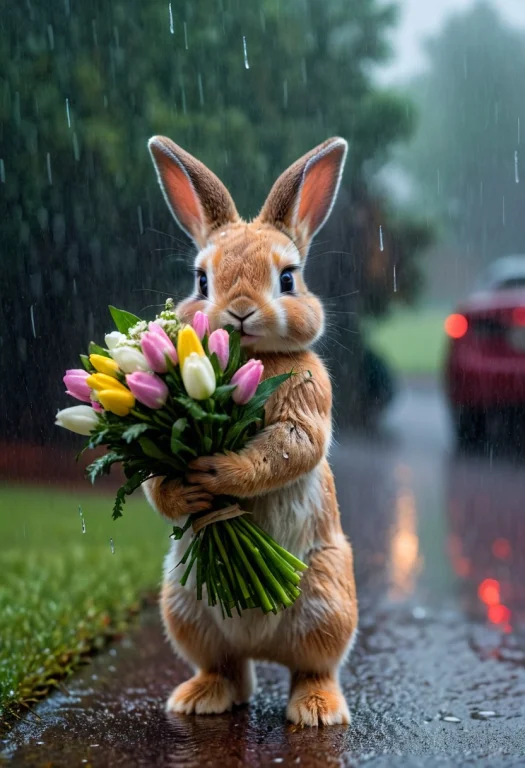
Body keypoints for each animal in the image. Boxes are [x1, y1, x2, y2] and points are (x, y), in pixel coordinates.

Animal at [143, 135, 358, 727]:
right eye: (201, 280)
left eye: (287, 278)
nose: (239, 311)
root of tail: (261, 642)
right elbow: (156, 484)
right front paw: (188, 489)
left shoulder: (305, 406)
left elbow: (291, 447)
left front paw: (217, 470)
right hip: (183, 603)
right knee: (227, 668)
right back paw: (197, 701)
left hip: (327, 600)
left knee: (313, 667)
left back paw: (316, 711)